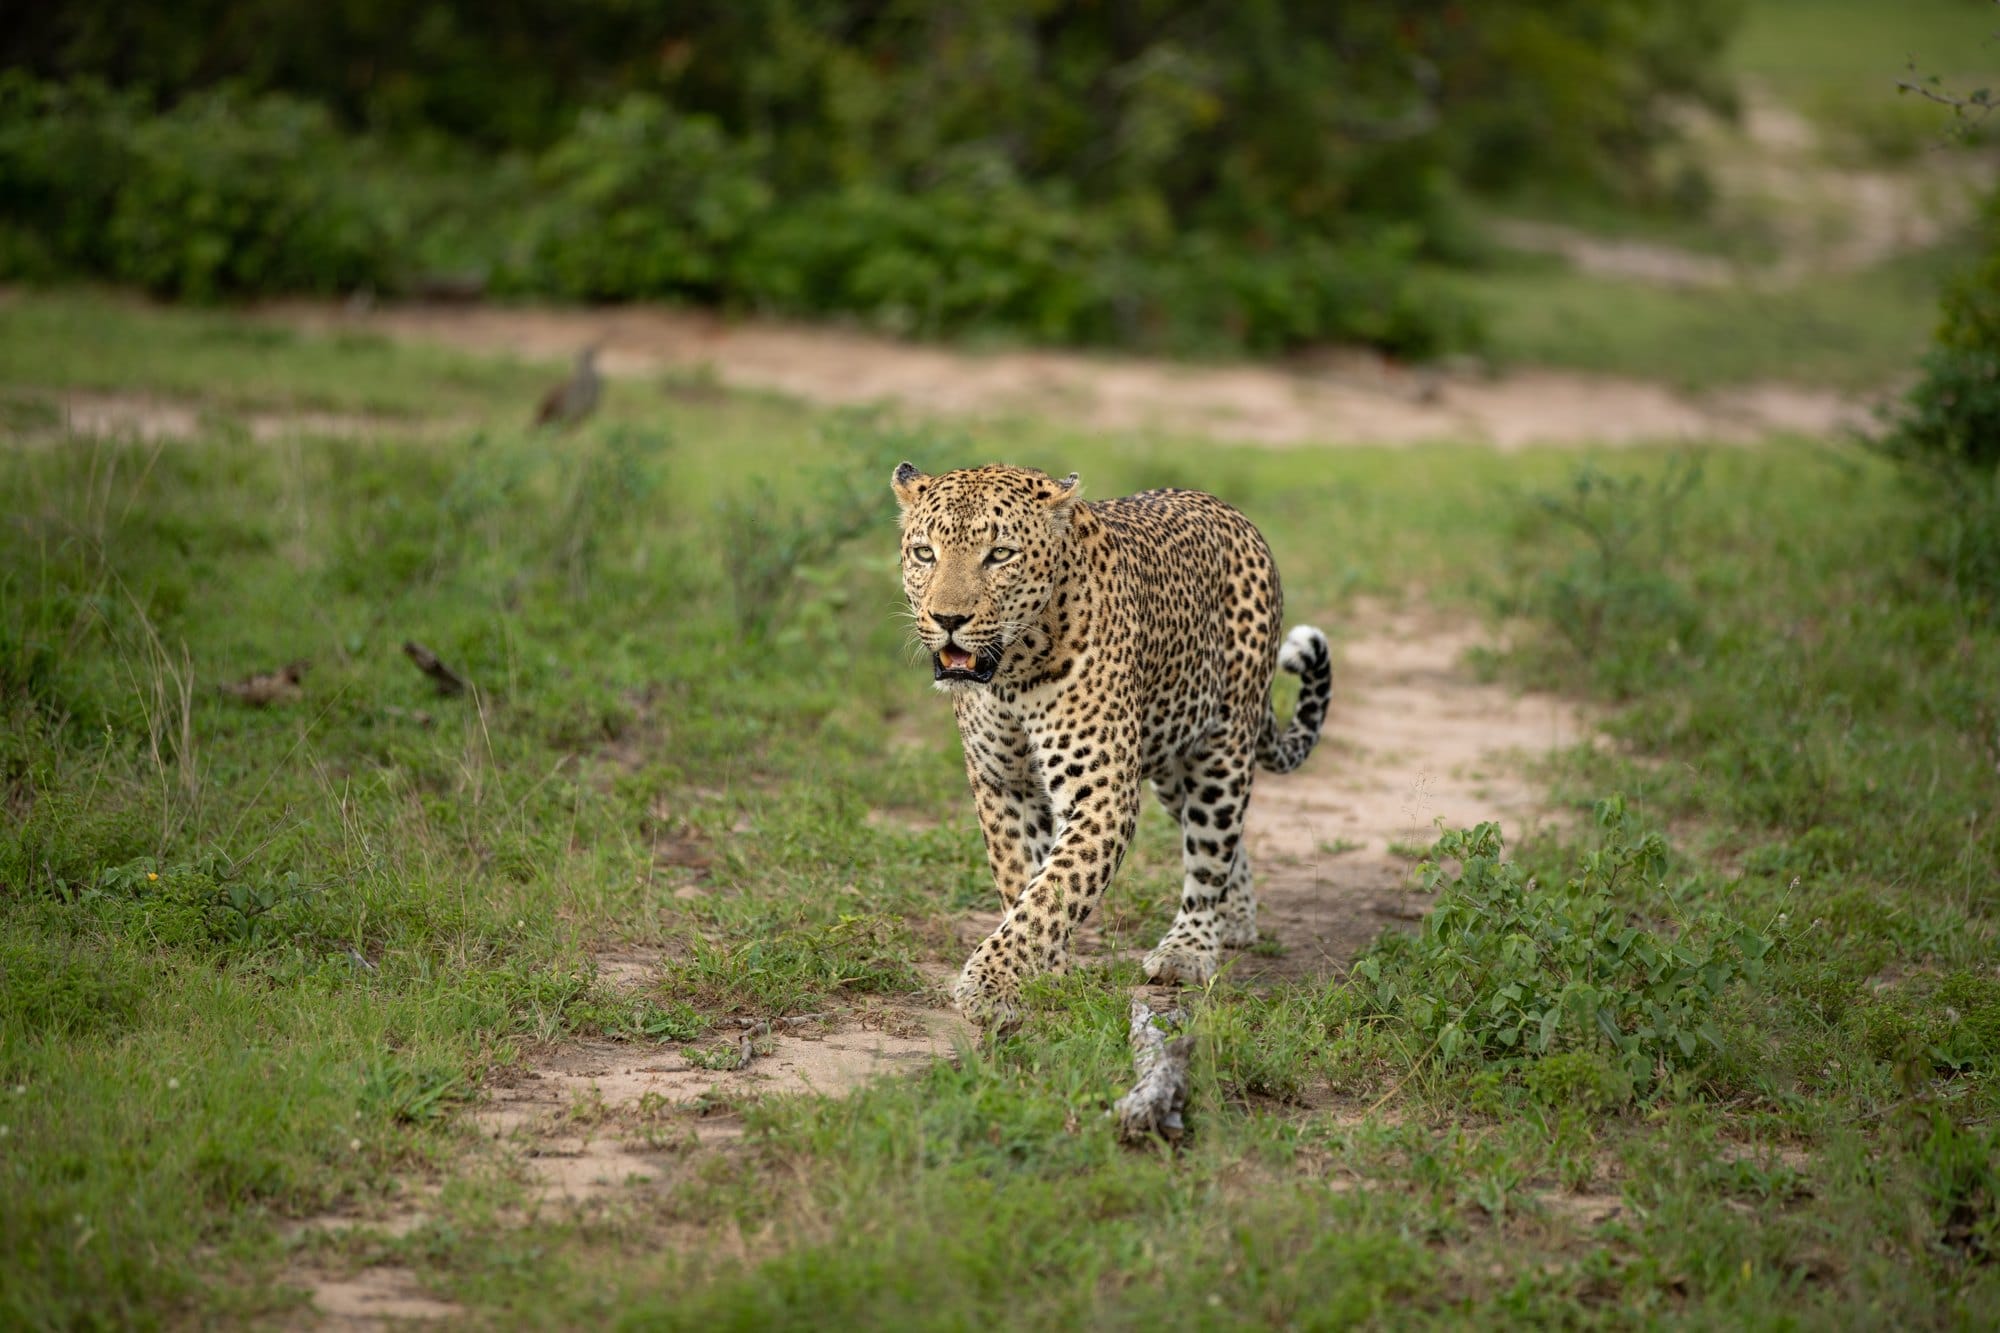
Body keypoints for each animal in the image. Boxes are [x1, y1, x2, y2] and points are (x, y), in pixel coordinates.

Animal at [892, 461, 1332, 1029]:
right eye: (926, 553)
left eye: (1001, 554)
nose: (948, 620)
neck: (1013, 670)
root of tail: (1231, 512)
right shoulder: (1004, 787)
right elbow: (1023, 882)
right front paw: (1043, 974)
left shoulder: (1101, 793)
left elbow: (1052, 892)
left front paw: (990, 984)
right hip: (1170, 758)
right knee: (1225, 840)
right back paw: (1235, 918)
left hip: (1221, 749)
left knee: (1212, 848)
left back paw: (1189, 947)